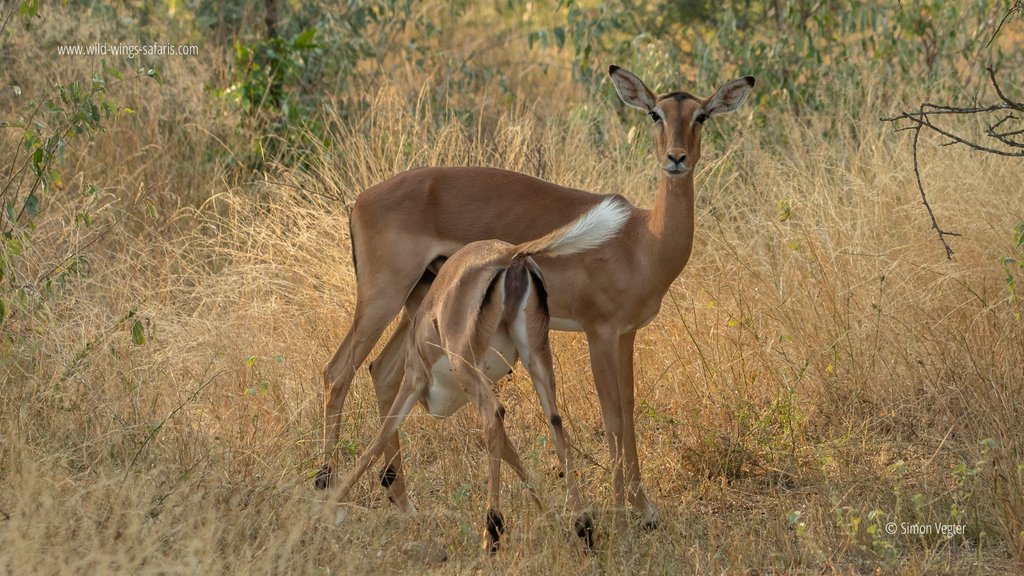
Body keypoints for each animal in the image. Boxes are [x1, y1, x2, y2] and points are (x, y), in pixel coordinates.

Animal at [329, 197, 631, 552]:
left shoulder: (416, 382)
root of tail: (511, 255)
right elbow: (512, 451)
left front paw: (331, 506)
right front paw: (551, 514)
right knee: (554, 421)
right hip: (534, 359)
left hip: (466, 368)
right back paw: (583, 525)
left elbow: (377, 439)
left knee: (493, 414)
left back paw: (492, 532)